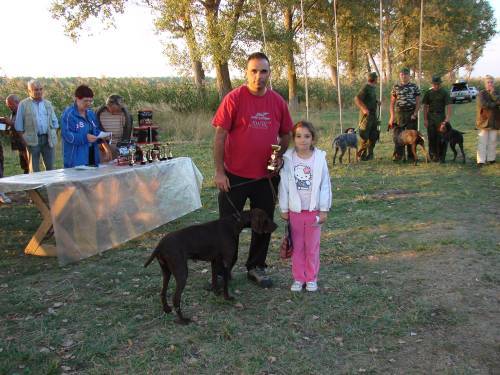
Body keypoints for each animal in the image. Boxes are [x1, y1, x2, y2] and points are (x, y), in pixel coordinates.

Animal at [144, 210, 278, 324]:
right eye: (266, 218)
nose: (276, 226)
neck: (234, 223)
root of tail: (160, 245)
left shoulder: (215, 261)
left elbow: (214, 280)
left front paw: (216, 293)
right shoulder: (227, 262)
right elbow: (225, 283)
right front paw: (227, 297)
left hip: (166, 272)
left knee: (162, 292)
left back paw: (166, 309)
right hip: (182, 273)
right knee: (176, 299)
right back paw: (183, 320)